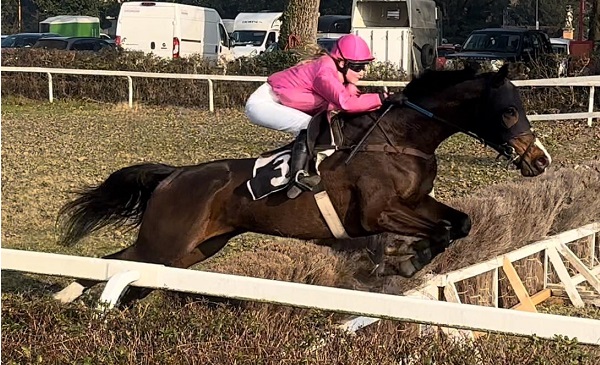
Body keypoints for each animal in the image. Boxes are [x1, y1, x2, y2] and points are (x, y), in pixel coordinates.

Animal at [54, 64, 552, 304]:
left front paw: (408, 259)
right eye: (509, 111)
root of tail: (173, 176)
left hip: (194, 249)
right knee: (116, 263)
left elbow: (459, 224)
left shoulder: (415, 201)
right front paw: (404, 259)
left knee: (129, 269)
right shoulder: (375, 212)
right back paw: (67, 294)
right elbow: (442, 230)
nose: (540, 160)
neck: (402, 141)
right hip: (167, 242)